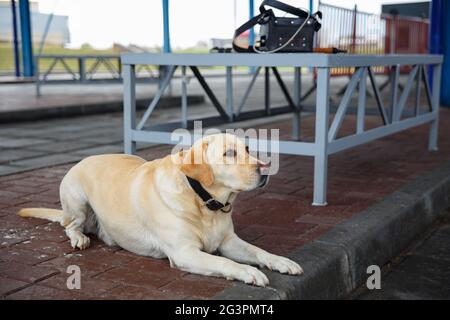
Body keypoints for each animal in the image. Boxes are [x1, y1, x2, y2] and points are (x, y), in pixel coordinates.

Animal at [19, 132, 304, 284]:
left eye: (246, 148)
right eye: (229, 154)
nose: (266, 168)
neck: (202, 201)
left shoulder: (228, 241)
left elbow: (258, 251)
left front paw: (281, 261)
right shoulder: (184, 252)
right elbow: (224, 262)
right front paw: (248, 271)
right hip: (76, 200)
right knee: (69, 226)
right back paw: (78, 238)